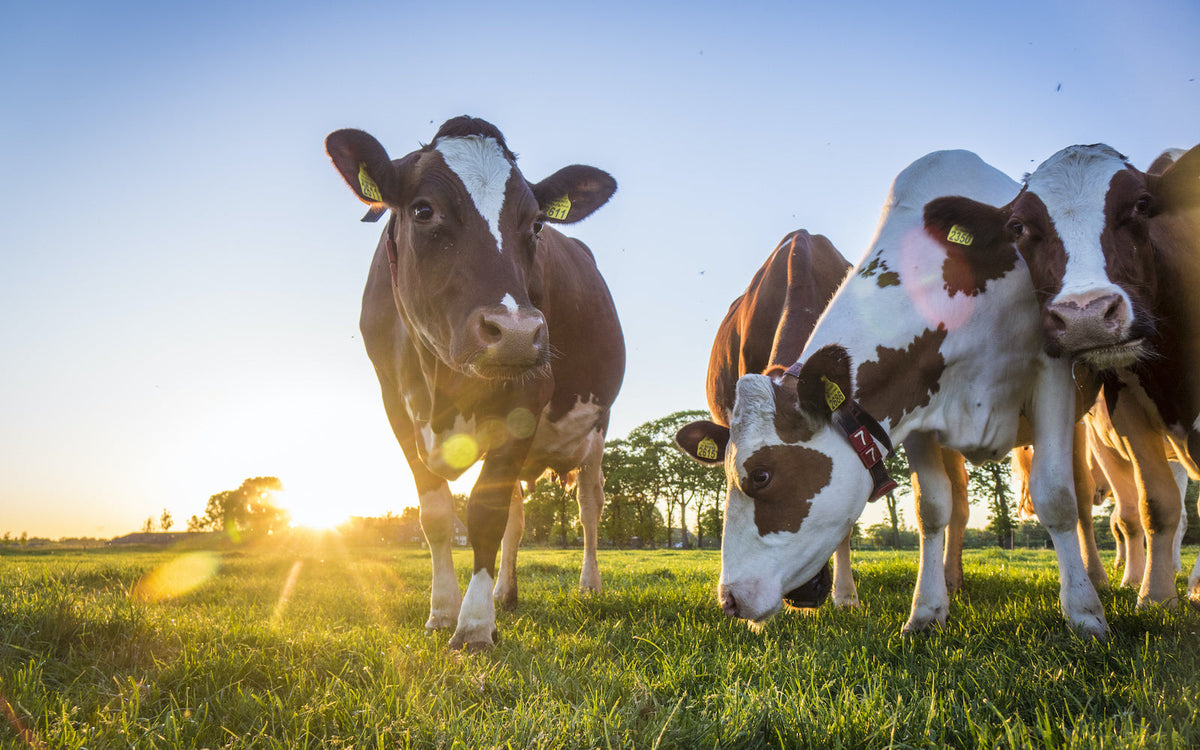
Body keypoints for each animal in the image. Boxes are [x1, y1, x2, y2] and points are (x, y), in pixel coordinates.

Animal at [325, 117, 624, 651]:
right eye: (423, 210)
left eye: (537, 224)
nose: (517, 332)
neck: (442, 382)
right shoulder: (395, 407)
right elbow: (437, 515)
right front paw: (443, 611)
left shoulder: (528, 397)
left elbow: (485, 513)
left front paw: (474, 626)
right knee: (519, 517)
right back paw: (507, 592)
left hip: (596, 427)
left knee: (589, 505)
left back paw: (588, 586)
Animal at [677, 150, 1107, 637]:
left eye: (762, 475)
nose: (729, 600)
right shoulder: (918, 407)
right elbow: (932, 508)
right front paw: (926, 611)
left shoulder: (1052, 372)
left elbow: (1056, 496)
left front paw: (1084, 614)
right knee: (960, 505)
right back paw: (952, 580)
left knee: (1081, 492)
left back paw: (1100, 579)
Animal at [930, 144, 1200, 608]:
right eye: (1018, 227)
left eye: (1141, 204)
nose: (1085, 316)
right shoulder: (1127, 408)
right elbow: (1154, 507)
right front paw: (1155, 596)